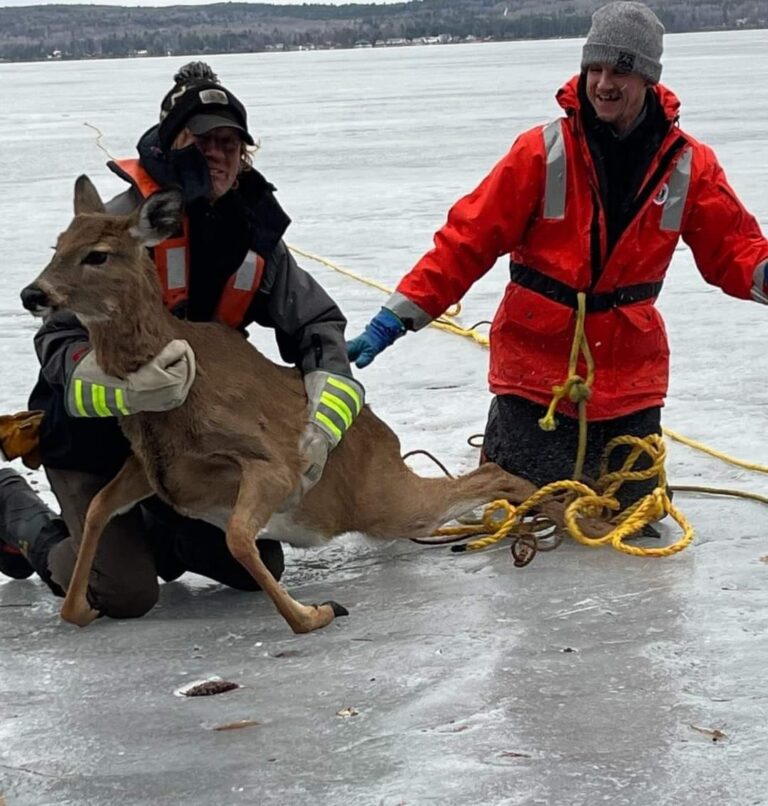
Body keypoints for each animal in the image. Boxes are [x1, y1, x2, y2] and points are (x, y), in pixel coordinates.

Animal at [21, 177, 604, 636]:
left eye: (98, 253)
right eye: (58, 243)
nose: (33, 294)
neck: (173, 398)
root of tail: (385, 437)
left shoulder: (275, 464)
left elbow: (238, 538)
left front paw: (316, 614)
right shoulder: (152, 467)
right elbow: (99, 509)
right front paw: (80, 609)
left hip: (385, 497)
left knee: (496, 474)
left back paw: (577, 518)